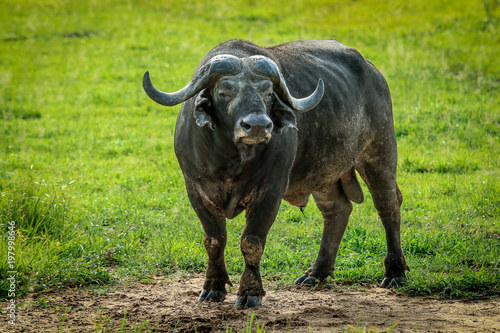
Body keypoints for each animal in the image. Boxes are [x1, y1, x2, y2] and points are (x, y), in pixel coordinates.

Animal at [143, 38, 408, 306]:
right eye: (224, 92)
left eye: (268, 93)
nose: (258, 125)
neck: (231, 160)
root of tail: (373, 72)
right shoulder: (195, 189)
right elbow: (214, 240)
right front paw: (213, 287)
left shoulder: (271, 190)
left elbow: (251, 242)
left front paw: (250, 292)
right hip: (324, 173)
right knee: (337, 210)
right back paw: (316, 274)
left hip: (380, 153)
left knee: (388, 206)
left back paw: (395, 273)